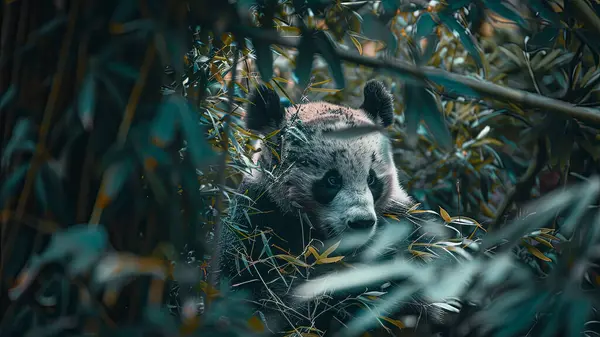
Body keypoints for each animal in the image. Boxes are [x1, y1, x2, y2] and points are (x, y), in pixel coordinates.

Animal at [216, 80, 450, 334]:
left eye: (371, 179)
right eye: (331, 180)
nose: (361, 223)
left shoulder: (400, 224)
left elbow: (415, 294)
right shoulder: (257, 222)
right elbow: (253, 296)